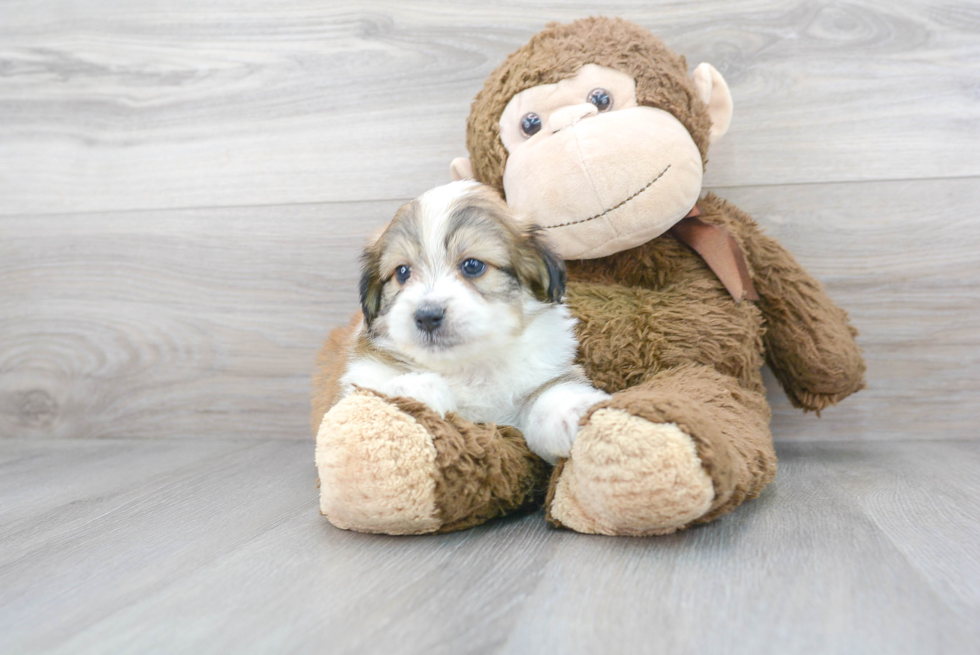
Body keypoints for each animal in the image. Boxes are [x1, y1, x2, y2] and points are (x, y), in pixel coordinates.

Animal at [340, 179, 608, 464]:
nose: (427, 316)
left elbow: (551, 391)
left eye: (472, 266)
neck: (467, 367)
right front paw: (416, 389)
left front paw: (571, 411)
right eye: (402, 272)